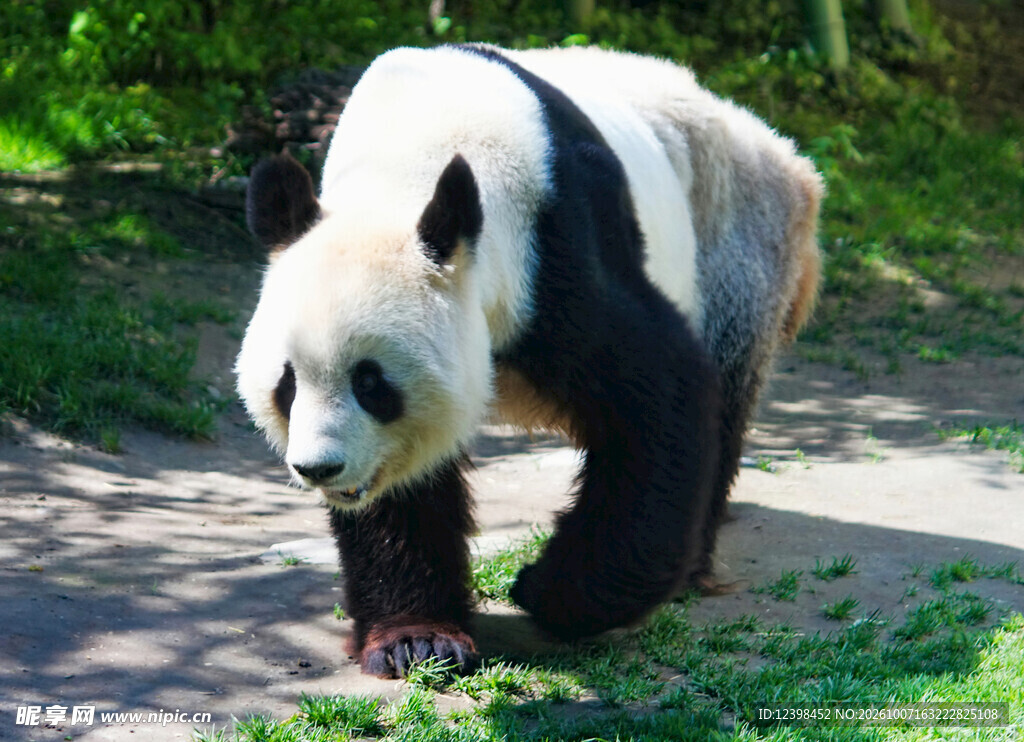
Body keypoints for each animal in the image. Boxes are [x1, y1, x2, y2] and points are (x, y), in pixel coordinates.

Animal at [236, 44, 823, 678]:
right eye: (288, 384)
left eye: (371, 382)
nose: (319, 468)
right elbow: (401, 489)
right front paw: (416, 640)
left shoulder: (556, 253)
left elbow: (660, 398)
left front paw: (547, 590)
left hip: (735, 244)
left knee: (725, 396)